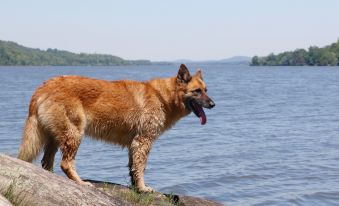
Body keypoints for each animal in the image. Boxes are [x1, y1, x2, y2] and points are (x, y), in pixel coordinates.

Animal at [17, 63, 215, 192]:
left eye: (206, 90)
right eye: (197, 91)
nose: (213, 104)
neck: (162, 97)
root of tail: (44, 87)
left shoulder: (134, 145)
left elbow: (133, 169)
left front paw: (136, 188)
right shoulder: (143, 142)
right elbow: (140, 168)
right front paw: (143, 188)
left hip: (55, 137)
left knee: (46, 162)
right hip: (74, 134)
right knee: (65, 163)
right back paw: (80, 183)